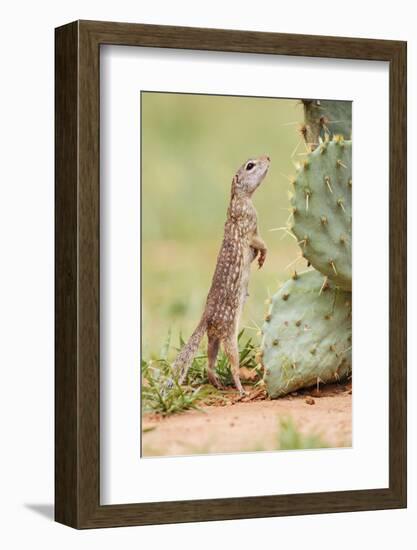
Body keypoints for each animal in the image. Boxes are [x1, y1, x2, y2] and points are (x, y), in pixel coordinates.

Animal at [172, 156, 270, 396]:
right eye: (250, 166)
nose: (268, 157)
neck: (238, 199)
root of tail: (205, 318)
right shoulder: (250, 226)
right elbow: (259, 242)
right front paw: (263, 255)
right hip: (228, 336)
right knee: (233, 365)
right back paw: (241, 389)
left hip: (214, 339)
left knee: (209, 362)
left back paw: (216, 382)